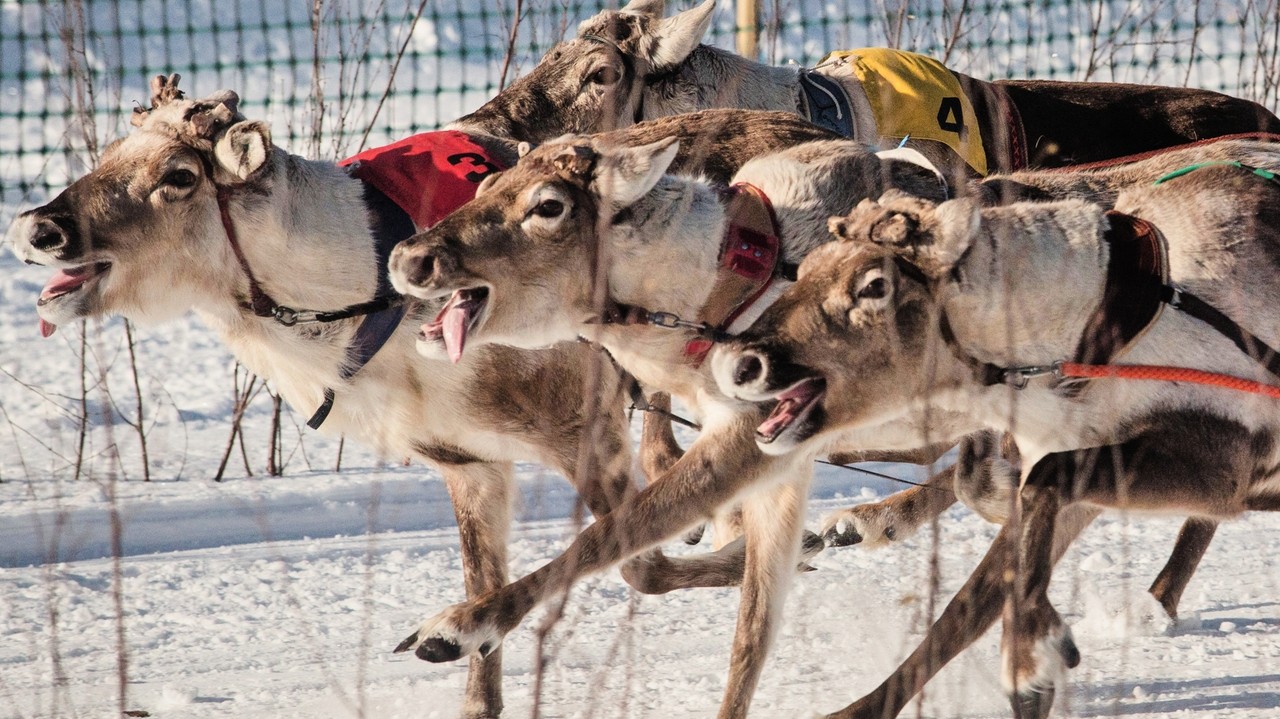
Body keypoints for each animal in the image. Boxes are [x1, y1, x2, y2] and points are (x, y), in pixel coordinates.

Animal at [3, 76, 845, 719]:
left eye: (179, 175)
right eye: (109, 153)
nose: (39, 227)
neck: (358, 302)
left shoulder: (579, 427)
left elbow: (641, 559)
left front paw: (791, 547)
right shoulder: (469, 461)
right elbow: (496, 615)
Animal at [711, 159, 1280, 718]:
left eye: (874, 286)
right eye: (805, 270)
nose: (736, 364)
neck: (1091, 323)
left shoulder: (1220, 465)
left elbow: (1035, 497)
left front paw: (1028, 661)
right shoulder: (1081, 464)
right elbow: (966, 609)